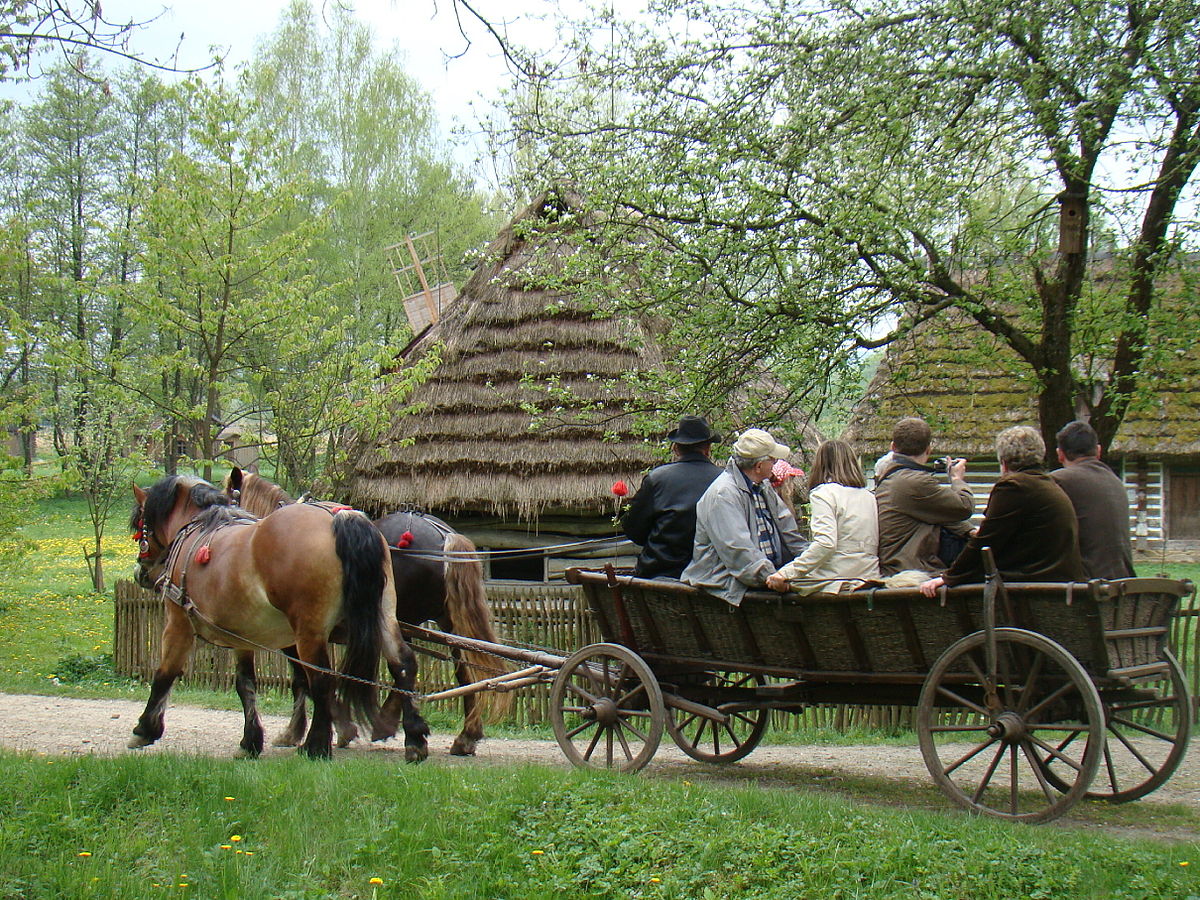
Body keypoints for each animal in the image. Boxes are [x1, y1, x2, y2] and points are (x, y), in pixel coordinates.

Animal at [129, 475, 429, 763]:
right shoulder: (244, 636)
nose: (141, 573)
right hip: (383, 615)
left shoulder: (178, 624)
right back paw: (413, 739)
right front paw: (251, 741)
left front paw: (145, 729)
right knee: (403, 664)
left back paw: (316, 746)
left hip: (310, 632)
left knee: (322, 678)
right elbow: (246, 684)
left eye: (139, 525)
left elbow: (165, 673)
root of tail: (339, 518)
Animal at [225, 468, 511, 758]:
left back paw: (389, 723)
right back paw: (464, 736)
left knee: (406, 668)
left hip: (402, 617)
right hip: (446, 621)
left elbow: (304, 680)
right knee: (458, 671)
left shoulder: (297, 635)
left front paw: (305, 731)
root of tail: (445, 537)